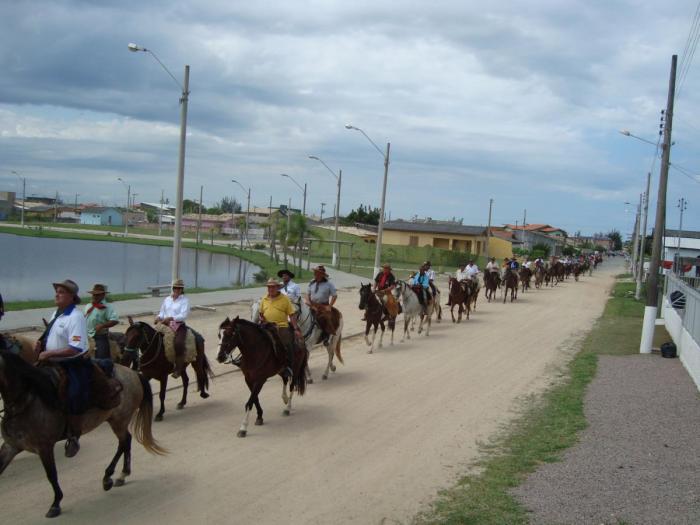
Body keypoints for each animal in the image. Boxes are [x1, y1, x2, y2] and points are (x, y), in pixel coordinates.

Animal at [0, 350, 165, 516]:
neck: (26, 400)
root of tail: (133, 373)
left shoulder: (44, 446)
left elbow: (51, 474)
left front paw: (56, 503)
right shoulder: (11, 446)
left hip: (119, 420)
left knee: (124, 442)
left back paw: (109, 477)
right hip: (116, 420)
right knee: (126, 442)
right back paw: (121, 474)